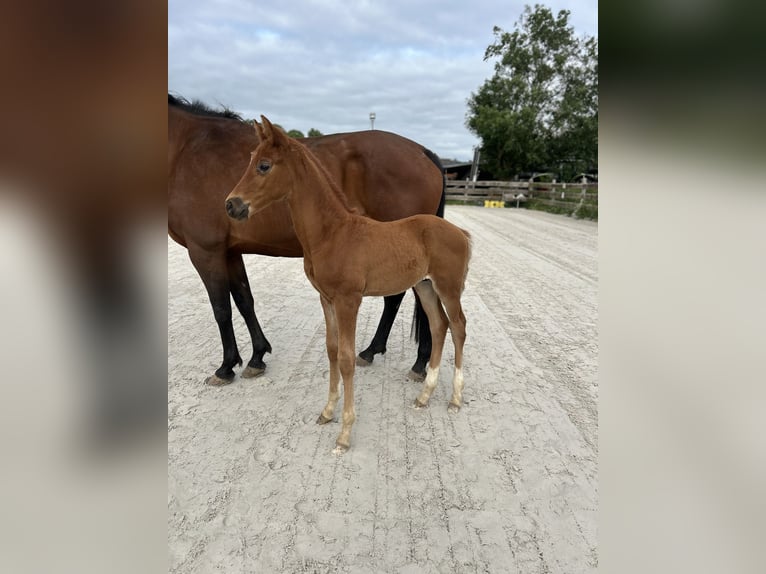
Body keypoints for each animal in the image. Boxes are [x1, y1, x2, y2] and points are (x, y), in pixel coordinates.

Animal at [168, 94, 445, 385]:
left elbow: (221, 309)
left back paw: (415, 362)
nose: (232, 205)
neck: (187, 149)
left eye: (264, 166)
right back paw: (375, 351)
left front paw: (225, 367)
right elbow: (244, 301)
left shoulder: (205, 251)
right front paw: (257, 357)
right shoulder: (230, 251)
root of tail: (422, 152)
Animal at [226, 116, 471, 454]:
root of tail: (461, 232)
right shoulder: (326, 299)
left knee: (458, 326)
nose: (231, 205)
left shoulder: (348, 301)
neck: (333, 233)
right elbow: (331, 351)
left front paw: (344, 434)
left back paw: (456, 399)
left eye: (264, 165)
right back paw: (424, 396)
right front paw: (327, 412)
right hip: (425, 286)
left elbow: (346, 359)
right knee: (439, 326)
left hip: (448, 287)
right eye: (250, 160)